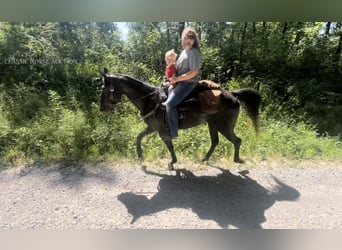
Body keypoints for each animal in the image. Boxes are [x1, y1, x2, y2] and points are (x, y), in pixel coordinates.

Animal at [100, 69, 260, 170]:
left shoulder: (160, 130)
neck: (151, 100)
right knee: (215, 141)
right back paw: (204, 159)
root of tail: (232, 94)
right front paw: (140, 157)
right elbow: (139, 138)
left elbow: (169, 145)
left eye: (106, 89)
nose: (102, 109)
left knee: (237, 141)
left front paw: (172, 162)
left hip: (224, 126)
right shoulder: (153, 128)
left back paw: (237, 160)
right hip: (213, 124)